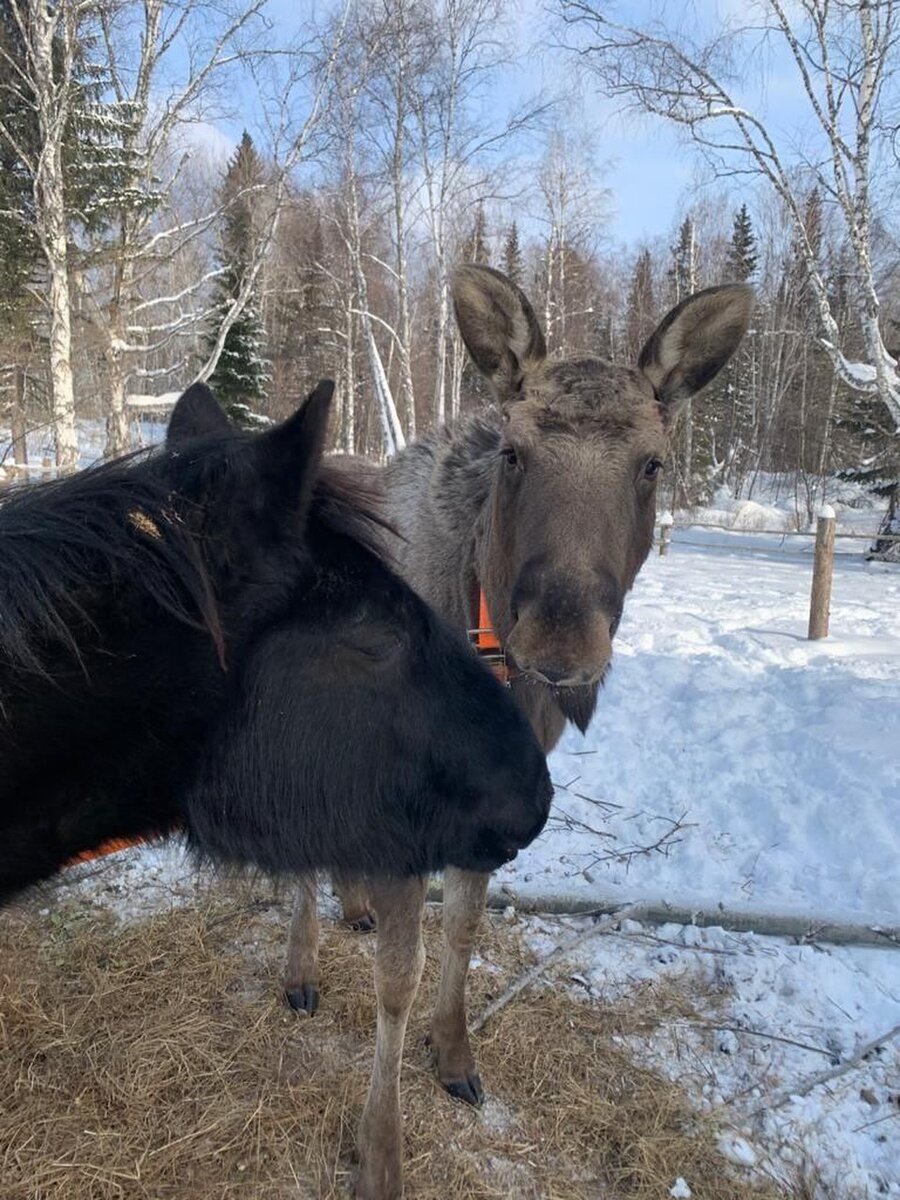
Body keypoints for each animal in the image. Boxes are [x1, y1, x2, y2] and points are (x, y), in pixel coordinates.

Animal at [286, 267, 753, 1118]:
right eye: (512, 452)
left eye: (652, 464)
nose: (563, 645)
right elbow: (400, 975)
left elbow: (465, 932)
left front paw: (454, 1055)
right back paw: (300, 968)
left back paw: (352, 905)